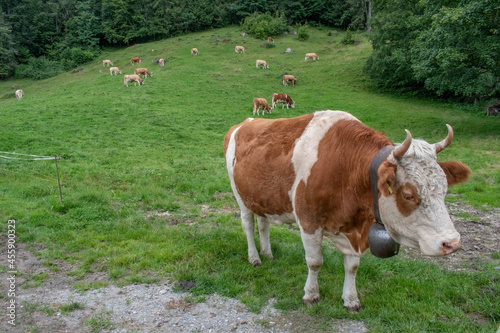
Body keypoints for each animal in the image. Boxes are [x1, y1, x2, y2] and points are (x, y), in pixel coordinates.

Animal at [225, 110, 470, 310]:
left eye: (445, 189)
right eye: (408, 195)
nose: (452, 243)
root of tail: (245, 122)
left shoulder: (354, 227)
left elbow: (352, 266)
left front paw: (351, 299)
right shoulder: (308, 221)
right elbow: (314, 261)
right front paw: (311, 295)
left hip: (261, 198)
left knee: (263, 224)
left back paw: (267, 253)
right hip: (240, 195)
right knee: (248, 226)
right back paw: (254, 257)